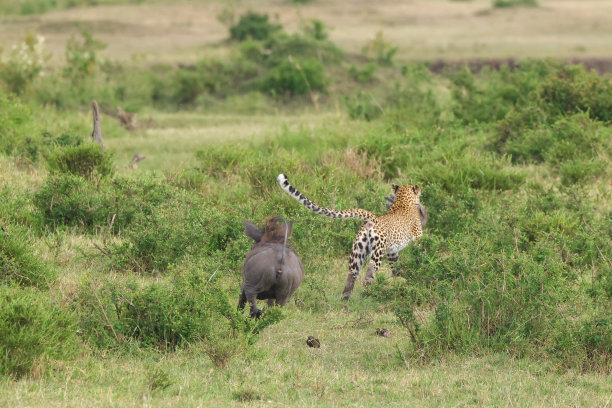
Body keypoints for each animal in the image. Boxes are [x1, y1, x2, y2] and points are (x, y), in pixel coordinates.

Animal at [276, 173, 424, 300]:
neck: (403, 200)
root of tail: (372, 219)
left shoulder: (392, 250)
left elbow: (396, 265)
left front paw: (402, 275)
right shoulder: (417, 237)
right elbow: (421, 252)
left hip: (358, 250)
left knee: (352, 273)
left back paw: (345, 299)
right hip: (377, 250)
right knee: (370, 271)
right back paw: (369, 293)